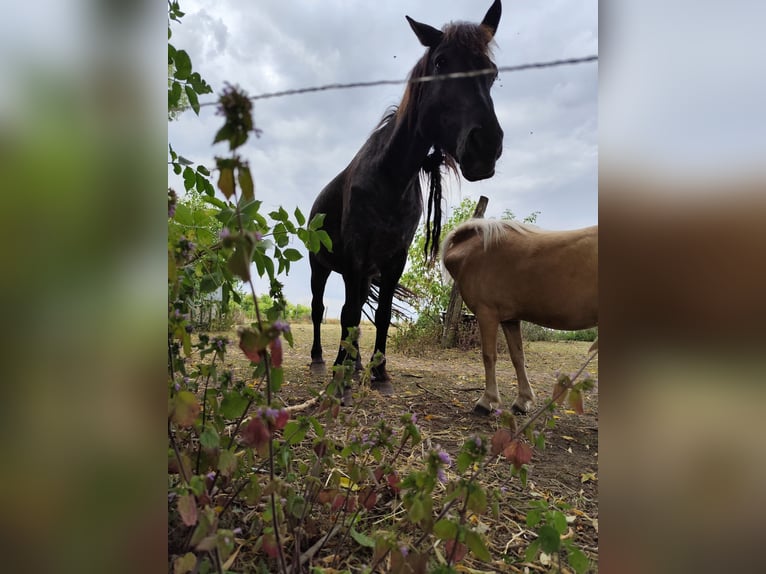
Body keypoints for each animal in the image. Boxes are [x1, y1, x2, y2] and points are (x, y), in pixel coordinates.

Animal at [309, 0, 505, 398]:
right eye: (441, 62)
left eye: (492, 72)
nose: (486, 147)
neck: (389, 178)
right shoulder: (356, 253)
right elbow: (347, 314)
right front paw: (340, 379)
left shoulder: (392, 258)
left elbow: (378, 315)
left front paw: (378, 374)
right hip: (319, 267)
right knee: (319, 309)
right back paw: (321, 360)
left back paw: (353, 364)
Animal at [441, 219, 597, 415]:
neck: (472, 251)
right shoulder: (510, 320)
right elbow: (518, 357)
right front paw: (523, 401)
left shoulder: (486, 314)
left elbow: (489, 356)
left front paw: (487, 401)